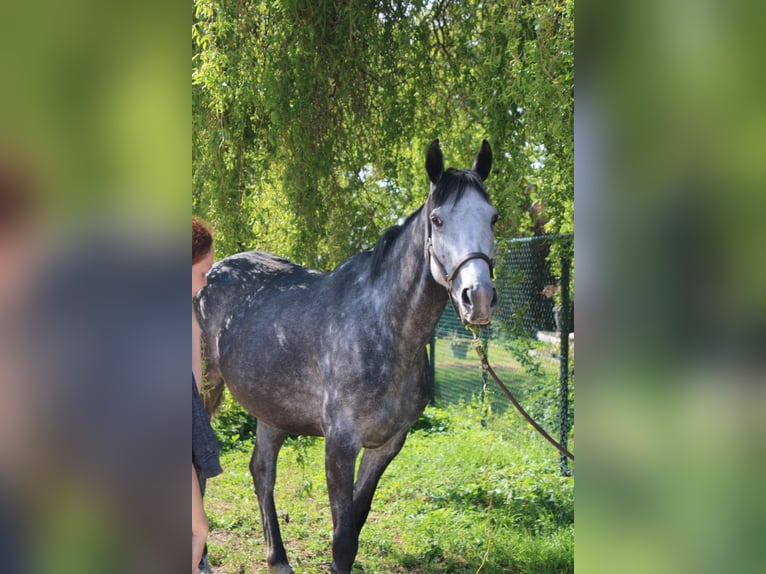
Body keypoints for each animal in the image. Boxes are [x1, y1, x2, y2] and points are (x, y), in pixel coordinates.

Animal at [195, 139, 499, 574]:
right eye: (437, 220)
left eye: (493, 218)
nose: (479, 298)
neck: (384, 330)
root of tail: (213, 273)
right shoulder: (340, 444)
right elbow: (341, 540)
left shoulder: (386, 446)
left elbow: (355, 524)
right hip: (204, 388)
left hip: (272, 409)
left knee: (261, 471)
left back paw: (278, 558)